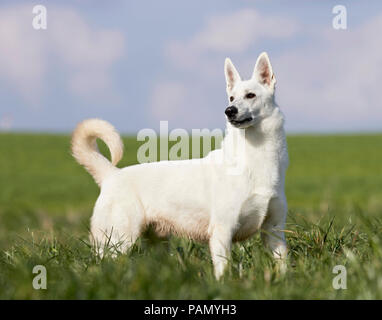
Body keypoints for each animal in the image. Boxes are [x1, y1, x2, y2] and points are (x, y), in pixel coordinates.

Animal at [71, 51, 288, 278]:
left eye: (250, 95)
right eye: (231, 97)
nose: (229, 110)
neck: (256, 158)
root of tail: (111, 175)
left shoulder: (275, 231)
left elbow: (282, 264)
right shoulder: (222, 232)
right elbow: (223, 270)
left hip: (155, 244)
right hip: (117, 242)